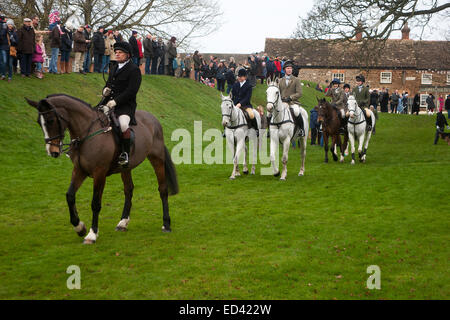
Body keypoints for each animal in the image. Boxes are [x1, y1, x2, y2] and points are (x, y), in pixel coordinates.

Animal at [25, 94, 178, 244]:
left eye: (50, 120)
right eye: (39, 122)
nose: (52, 152)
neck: (87, 133)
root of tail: (153, 119)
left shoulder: (100, 173)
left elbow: (95, 203)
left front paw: (92, 234)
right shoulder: (79, 170)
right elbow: (70, 196)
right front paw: (79, 227)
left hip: (157, 159)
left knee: (162, 189)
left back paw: (166, 224)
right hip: (125, 168)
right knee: (128, 189)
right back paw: (122, 223)